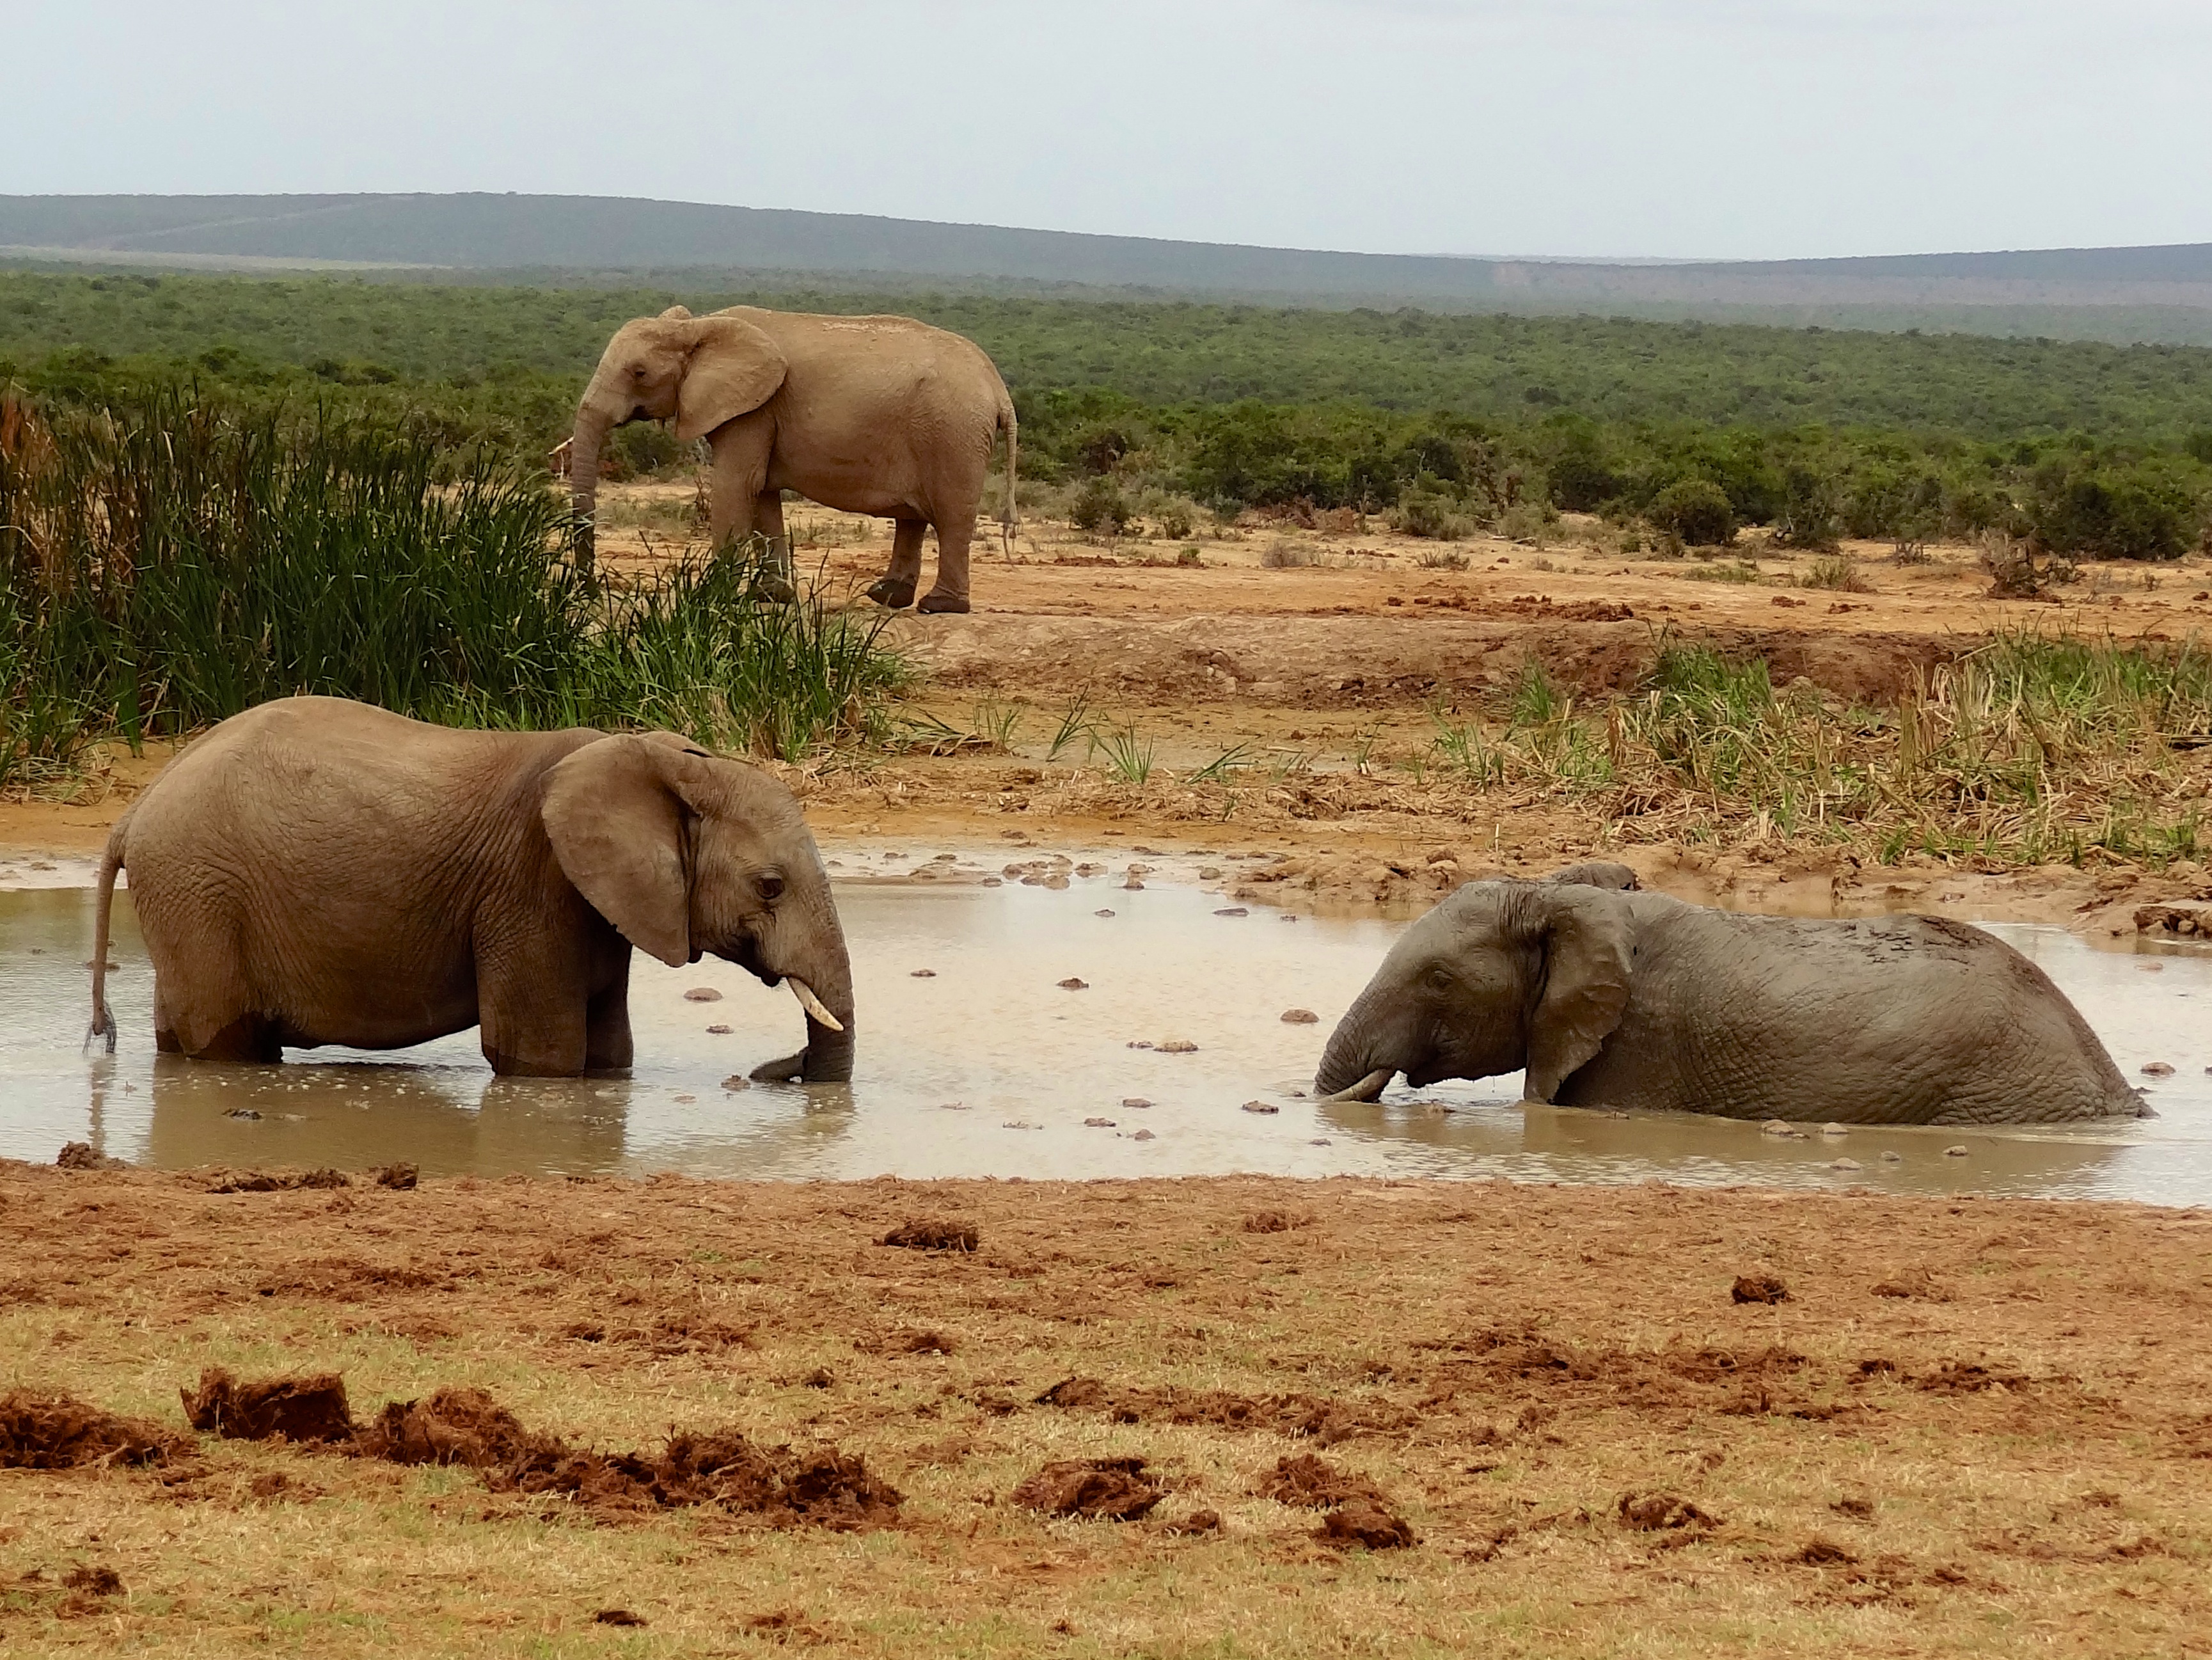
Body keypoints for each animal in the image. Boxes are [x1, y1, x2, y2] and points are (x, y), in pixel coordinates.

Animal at [85, 696, 854, 1082]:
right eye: (770, 886)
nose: (771, 1069)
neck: (660, 757)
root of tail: (133, 811)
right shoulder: (532, 885)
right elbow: (540, 1054)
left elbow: (611, 1051)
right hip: (201, 891)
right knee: (228, 1041)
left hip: (187, 895)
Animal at [569, 304, 1017, 614]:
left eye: (639, 373)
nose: (591, 591)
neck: (699, 327)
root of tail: (999, 388)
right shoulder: (759, 411)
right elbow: (762, 492)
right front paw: (771, 597)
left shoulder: (753, 409)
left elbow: (737, 485)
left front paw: (710, 594)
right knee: (914, 517)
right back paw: (887, 597)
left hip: (953, 433)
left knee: (952, 516)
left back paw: (939, 606)